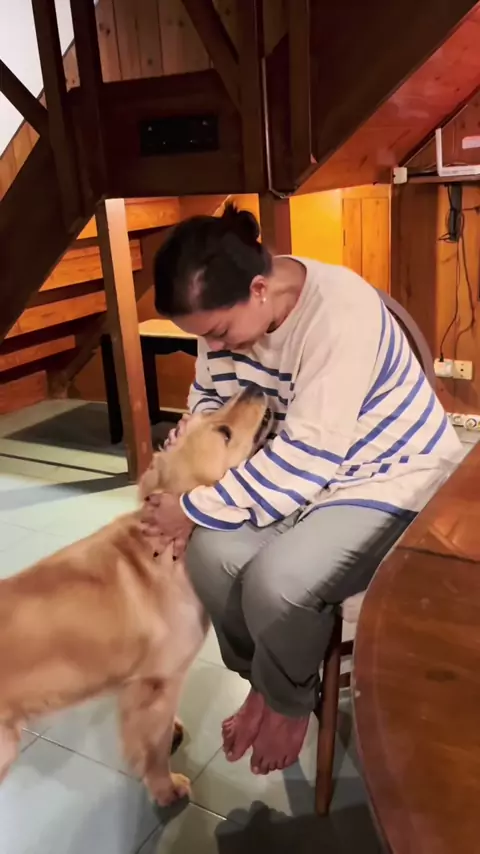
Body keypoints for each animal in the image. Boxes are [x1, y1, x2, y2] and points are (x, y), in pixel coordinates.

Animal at [0, 386, 268, 806]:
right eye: (223, 432)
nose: (255, 388)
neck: (163, 550)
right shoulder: (158, 681)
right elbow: (153, 747)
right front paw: (166, 788)